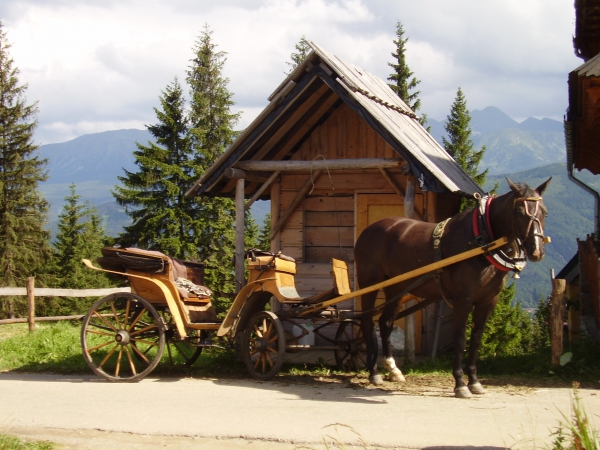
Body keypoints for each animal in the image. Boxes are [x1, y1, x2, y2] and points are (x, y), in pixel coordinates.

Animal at [354, 178, 552, 398]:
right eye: (518, 211)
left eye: (544, 212)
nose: (537, 251)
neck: (481, 240)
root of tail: (370, 230)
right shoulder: (462, 300)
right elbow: (460, 340)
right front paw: (460, 384)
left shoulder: (487, 301)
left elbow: (476, 340)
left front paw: (474, 381)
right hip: (369, 284)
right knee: (367, 322)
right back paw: (374, 372)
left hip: (396, 287)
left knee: (386, 322)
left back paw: (393, 369)